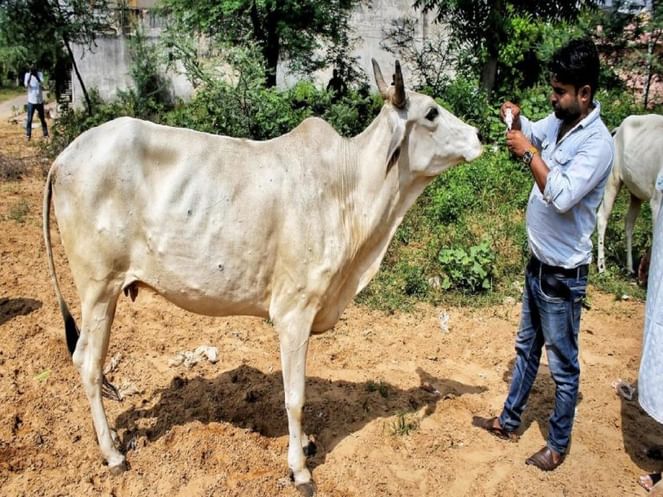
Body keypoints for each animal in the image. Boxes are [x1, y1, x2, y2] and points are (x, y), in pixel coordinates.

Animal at [44, 61, 482, 492]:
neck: (347, 189)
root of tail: (64, 157)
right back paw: (113, 455)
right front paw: (300, 469)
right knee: (88, 362)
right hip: (99, 289)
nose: (479, 135)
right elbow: (295, 397)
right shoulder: (294, 312)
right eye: (431, 113)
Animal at [596, 114, 663, 274]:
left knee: (629, 223)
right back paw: (602, 267)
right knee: (602, 217)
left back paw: (630, 268)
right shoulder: (656, 201)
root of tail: (617, 130)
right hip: (612, 180)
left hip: (636, 193)